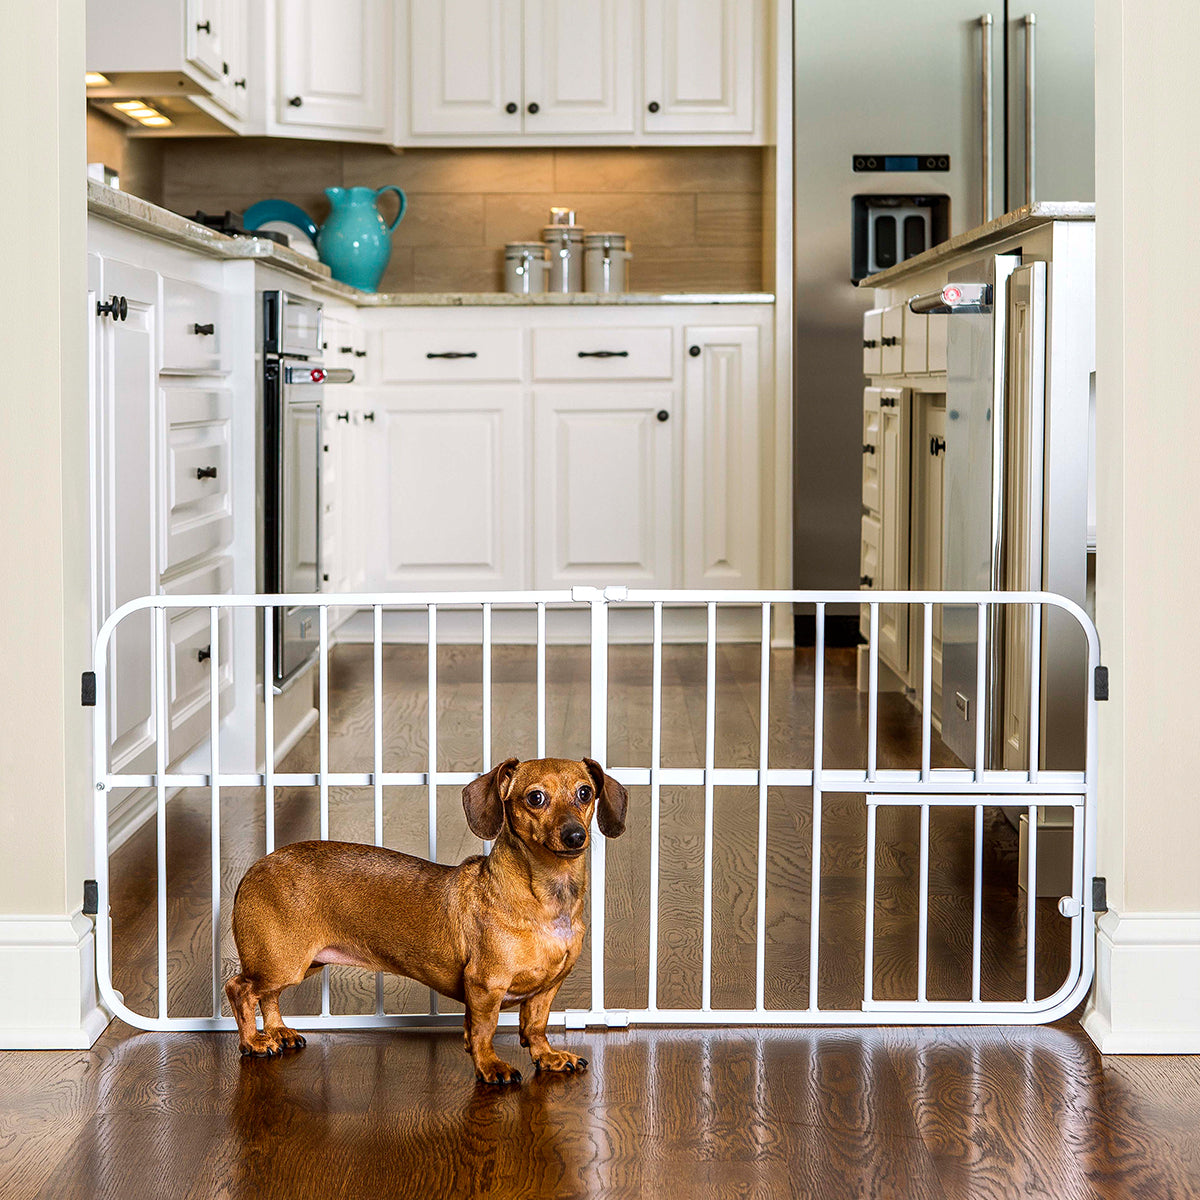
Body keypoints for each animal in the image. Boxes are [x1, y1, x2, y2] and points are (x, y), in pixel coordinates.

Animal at [224, 753, 628, 1084]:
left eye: (585, 793)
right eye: (535, 798)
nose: (575, 836)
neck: (543, 898)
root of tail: (255, 867)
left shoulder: (546, 990)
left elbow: (536, 1027)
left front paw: (548, 1057)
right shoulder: (485, 986)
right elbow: (484, 1030)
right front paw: (490, 1067)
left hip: (299, 963)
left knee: (267, 996)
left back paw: (278, 1032)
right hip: (282, 962)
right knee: (240, 988)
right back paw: (254, 1041)